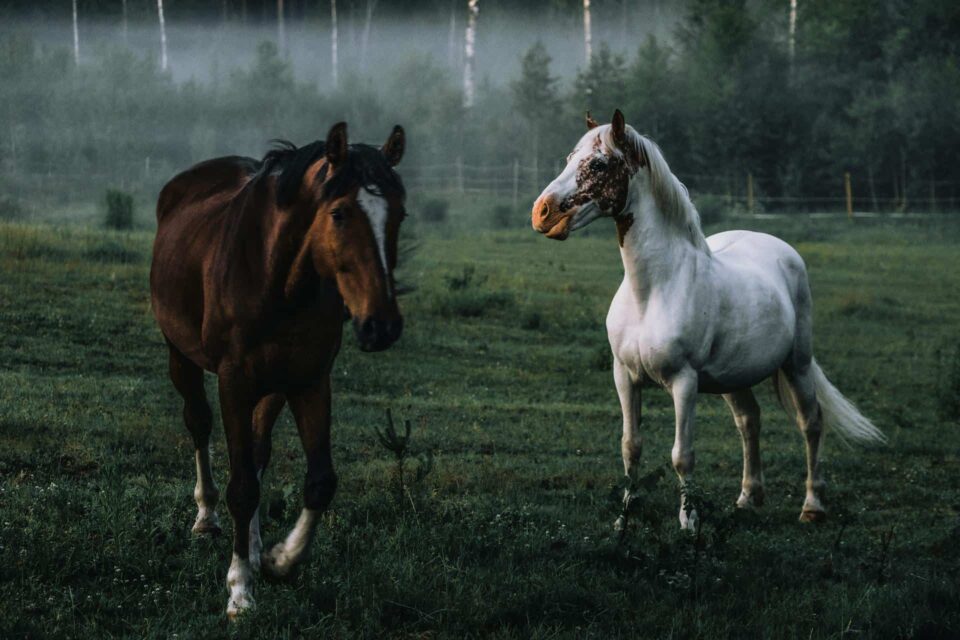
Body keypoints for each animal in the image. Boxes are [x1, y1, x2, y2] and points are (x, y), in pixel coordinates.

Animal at [149, 122, 404, 616]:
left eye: (399, 213)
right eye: (339, 213)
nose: (381, 325)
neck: (276, 276)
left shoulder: (309, 380)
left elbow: (318, 481)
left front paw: (278, 560)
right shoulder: (233, 381)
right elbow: (242, 486)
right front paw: (239, 591)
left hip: (271, 386)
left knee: (257, 450)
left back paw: (250, 545)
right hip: (182, 357)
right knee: (200, 424)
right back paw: (206, 517)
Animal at [532, 110, 884, 528]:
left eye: (599, 164)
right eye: (570, 158)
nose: (541, 212)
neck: (651, 291)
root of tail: (779, 248)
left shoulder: (684, 382)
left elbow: (682, 455)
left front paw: (689, 521)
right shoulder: (624, 377)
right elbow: (630, 447)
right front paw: (625, 517)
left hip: (796, 363)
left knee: (810, 421)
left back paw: (812, 506)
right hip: (735, 377)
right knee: (749, 421)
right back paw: (748, 497)